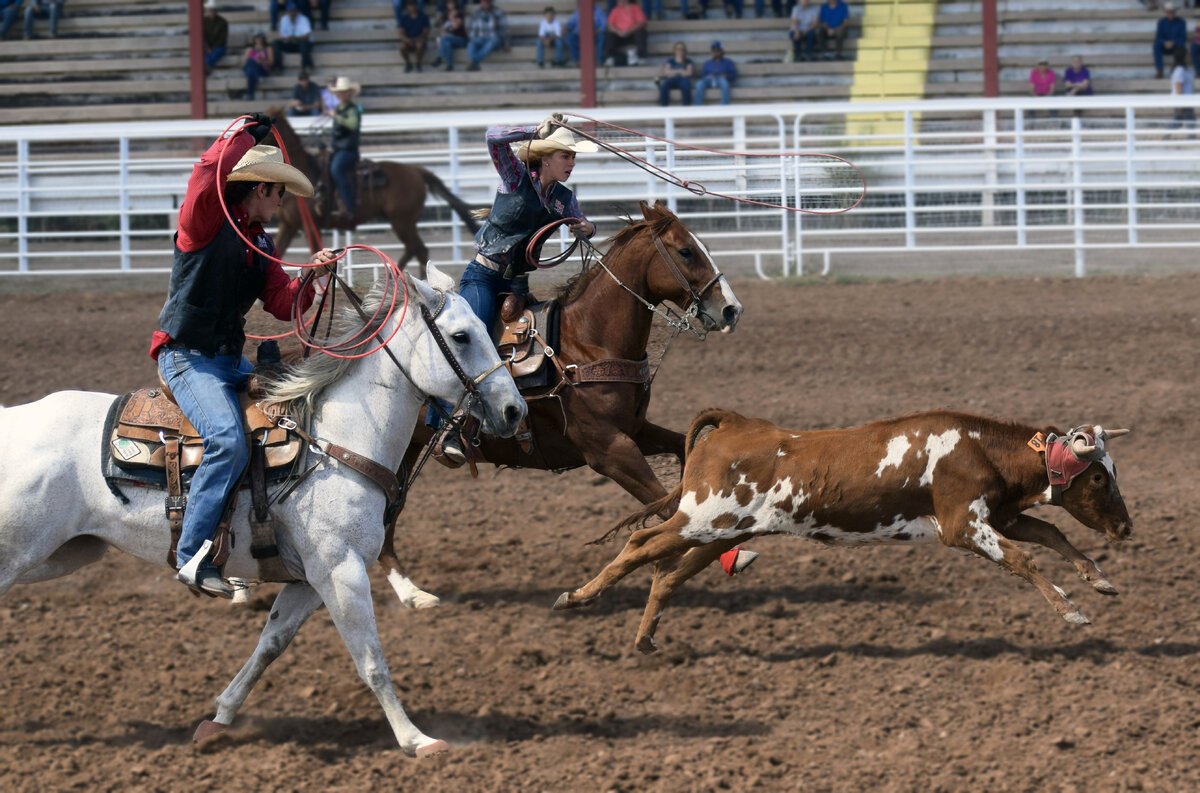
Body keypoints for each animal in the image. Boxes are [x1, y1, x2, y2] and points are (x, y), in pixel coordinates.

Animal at [0, 263, 525, 753]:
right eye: (461, 336)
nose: (514, 410)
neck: (332, 441)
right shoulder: (342, 571)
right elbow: (371, 660)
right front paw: (417, 740)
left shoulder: (308, 579)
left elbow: (269, 644)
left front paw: (219, 718)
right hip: (21, 551)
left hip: (65, 553)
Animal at [268, 107, 482, 271]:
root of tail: (415, 170)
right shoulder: (288, 225)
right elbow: (277, 252)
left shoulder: (311, 225)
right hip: (404, 221)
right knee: (418, 250)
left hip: (401, 221)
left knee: (416, 248)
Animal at [379, 199, 744, 607]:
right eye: (686, 251)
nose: (731, 310)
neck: (585, 344)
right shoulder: (609, 451)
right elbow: (665, 505)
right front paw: (732, 554)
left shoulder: (636, 431)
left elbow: (683, 452)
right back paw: (408, 592)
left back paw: (410, 592)